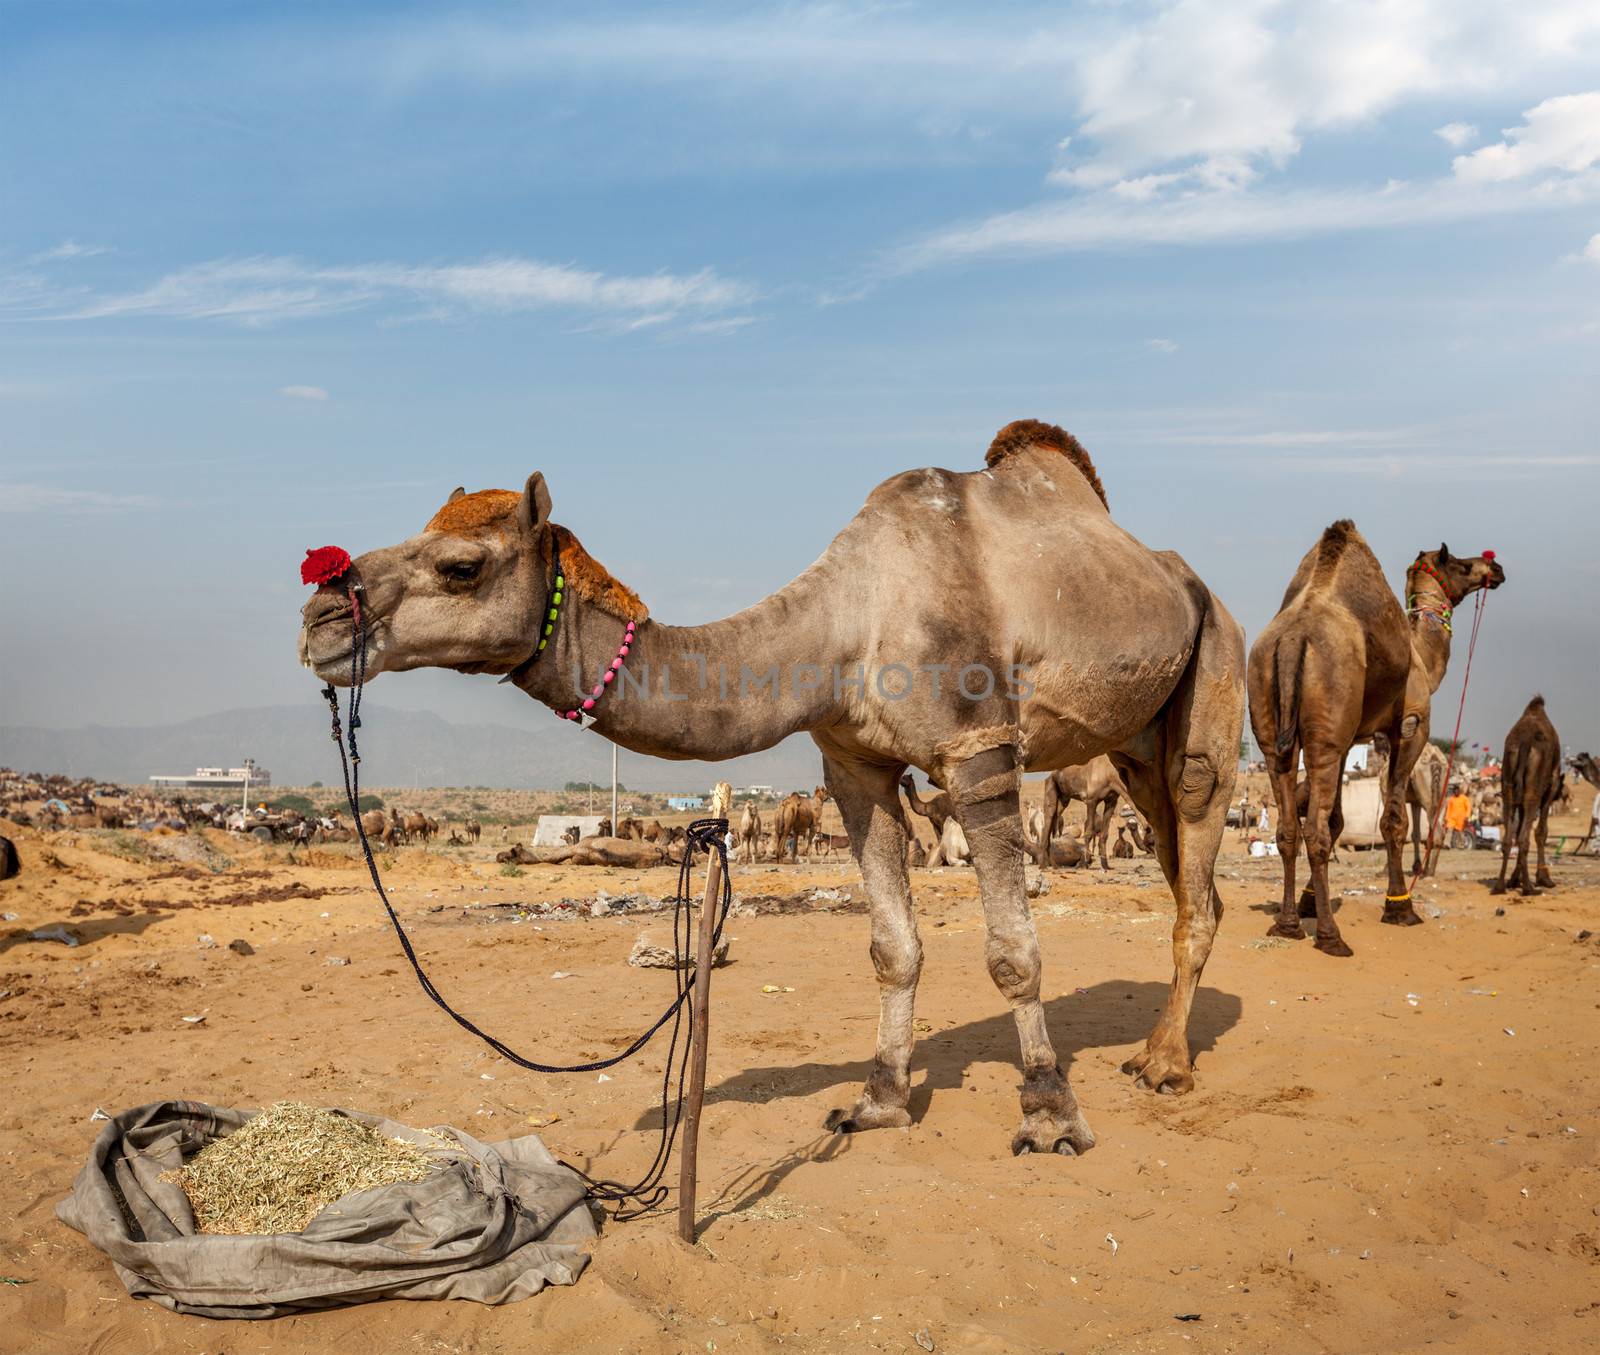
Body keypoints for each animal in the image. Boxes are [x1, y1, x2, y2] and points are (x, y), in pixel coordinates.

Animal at [302, 412, 1248, 1145]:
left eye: (462, 566)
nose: (319, 611)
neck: (847, 620)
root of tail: (1193, 584)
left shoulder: (977, 748)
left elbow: (1013, 952)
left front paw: (1050, 1113)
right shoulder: (852, 764)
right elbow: (893, 947)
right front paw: (876, 1103)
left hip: (1215, 670)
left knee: (1199, 845)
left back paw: (1165, 1064)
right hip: (1134, 742)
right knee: (1182, 867)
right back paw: (1154, 1046)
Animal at [1248, 524, 1497, 959]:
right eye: (1462, 565)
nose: (1494, 569)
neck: (1421, 658)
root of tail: (1293, 640)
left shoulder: (1348, 738)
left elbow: (1338, 818)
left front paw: (1310, 901)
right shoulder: (1409, 727)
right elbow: (1392, 820)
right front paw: (1400, 906)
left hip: (1275, 726)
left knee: (1289, 828)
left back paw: (1287, 925)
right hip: (1326, 723)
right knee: (1315, 831)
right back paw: (1331, 937)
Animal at [1484, 700, 1561, 902]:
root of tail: (1525, 743)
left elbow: (1518, 830)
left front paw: (1513, 880)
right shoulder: (1551, 787)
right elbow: (1541, 832)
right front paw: (1544, 879)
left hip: (1508, 784)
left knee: (1509, 838)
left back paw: (1500, 886)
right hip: (1534, 788)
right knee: (1524, 838)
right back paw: (1529, 888)